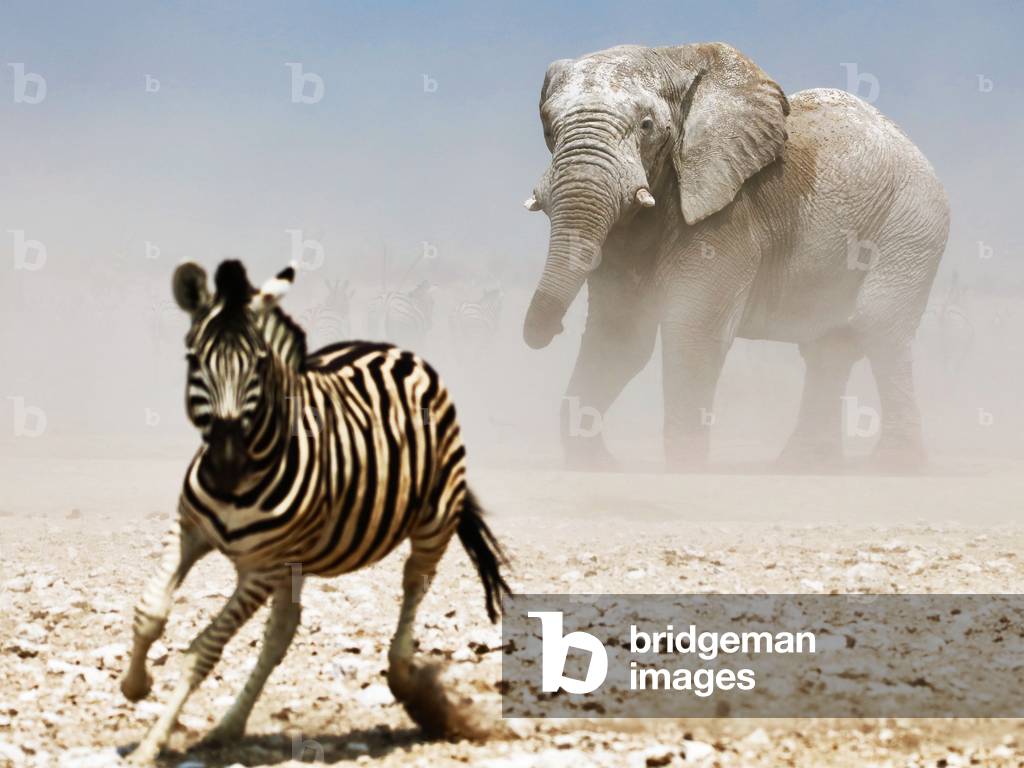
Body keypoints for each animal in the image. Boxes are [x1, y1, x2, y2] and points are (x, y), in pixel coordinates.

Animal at [120, 260, 510, 764]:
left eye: (259, 364)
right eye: (193, 360)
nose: (225, 465)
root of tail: (393, 349)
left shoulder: (261, 568)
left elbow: (203, 650)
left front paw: (151, 744)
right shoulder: (191, 529)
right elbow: (148, 611)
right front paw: (135, 685)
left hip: (434, 520)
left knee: (414, 584)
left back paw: (406, 681)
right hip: (298, 558)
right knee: (282, 632)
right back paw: (228, 727)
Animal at [521, 43, 949, 470]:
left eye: (646, 125)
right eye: (547, 128)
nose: (547, 332)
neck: (672, 58)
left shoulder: (729, 213)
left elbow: (692, 332)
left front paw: (686, 471)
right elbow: (619, 337)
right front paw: (598, 466)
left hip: (913, 222)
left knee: (879, 328)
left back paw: (896, 465)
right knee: (828, 348)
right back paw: (802, 465)